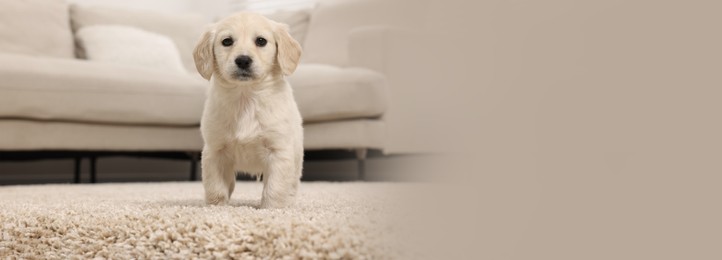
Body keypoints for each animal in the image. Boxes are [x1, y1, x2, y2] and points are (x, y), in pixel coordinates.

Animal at [191, 12, 300, 209]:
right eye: (227, 41)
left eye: (261, 41)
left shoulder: (279, 151)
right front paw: (217, 207)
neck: (246, 97)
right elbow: (215, 187)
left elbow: (275, 187)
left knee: (292, 183)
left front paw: (272, 209)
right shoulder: (215, 151)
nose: (243, 60)